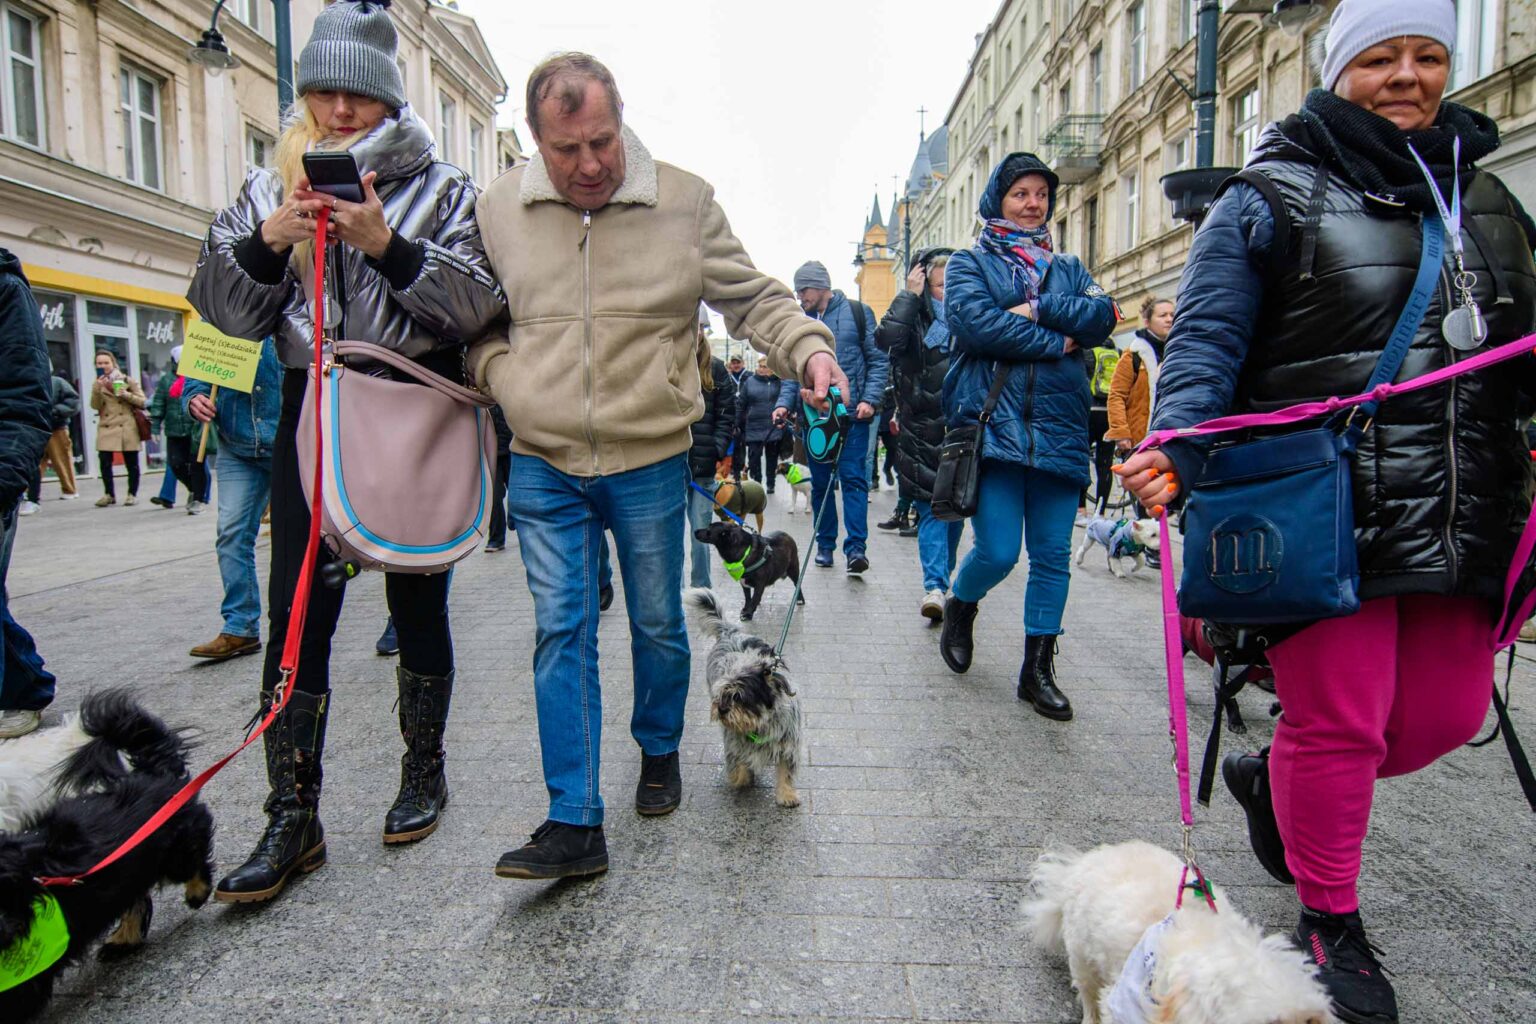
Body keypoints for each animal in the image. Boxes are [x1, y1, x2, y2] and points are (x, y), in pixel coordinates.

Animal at [681, 592, 804, 810]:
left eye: (739, 696)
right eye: (720, 694)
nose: (721, 710)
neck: (761, 724)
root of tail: (730, 632)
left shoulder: (788, 744)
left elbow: (785, 772)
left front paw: (787, 794)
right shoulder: (734, 741)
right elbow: (738, 765)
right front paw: (740, 778)